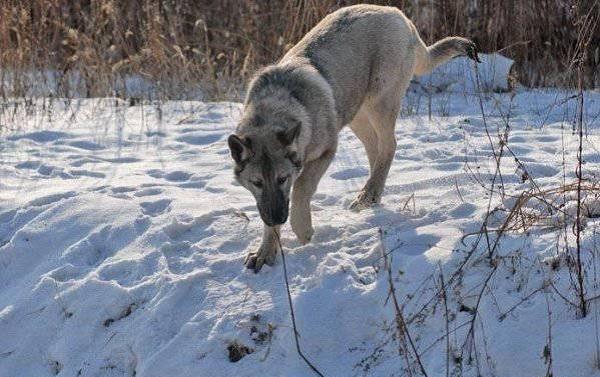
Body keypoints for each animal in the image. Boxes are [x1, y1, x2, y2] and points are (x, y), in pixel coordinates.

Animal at [227, 2, 480, 270]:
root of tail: (398, 14)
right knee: (376, 151)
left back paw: (368, 194)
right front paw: (265, 253)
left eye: (282, 178)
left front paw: (302, 230)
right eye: (256, 182)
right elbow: (269, 217)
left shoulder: (326, 152)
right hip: (356, 115)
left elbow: (302, 187)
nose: (277, 217)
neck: (276, 109)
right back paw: (371, 194)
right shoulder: (267, 198)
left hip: (379, 103)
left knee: (389, 146)